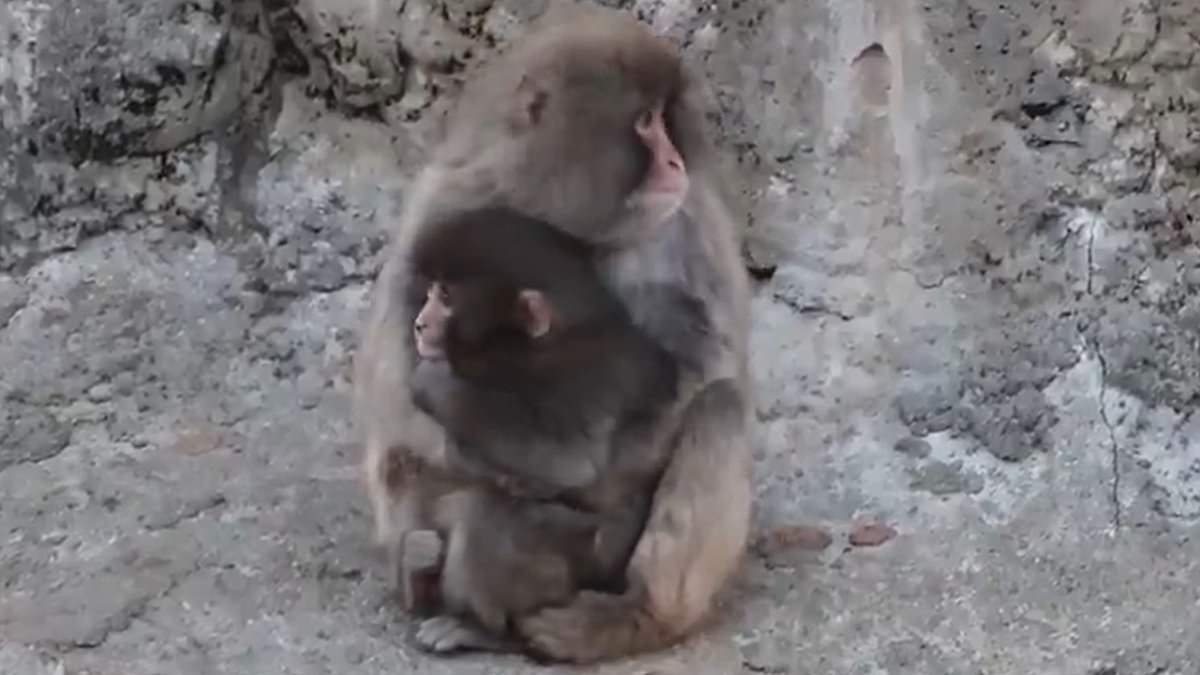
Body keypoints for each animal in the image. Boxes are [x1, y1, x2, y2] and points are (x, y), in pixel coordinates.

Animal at [352, 2, 753, 663]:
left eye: (664, 120)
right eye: (646, 122)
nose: (675, 162)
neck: (560, 214)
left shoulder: (680, 225)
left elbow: (702, 368)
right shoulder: (444, 202)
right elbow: (396, 395)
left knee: (721, 407)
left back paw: (634, 615)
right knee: (407, 460)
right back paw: (420, 576)